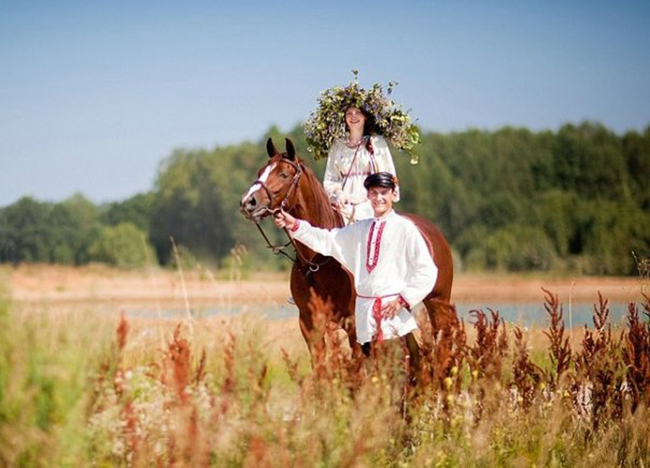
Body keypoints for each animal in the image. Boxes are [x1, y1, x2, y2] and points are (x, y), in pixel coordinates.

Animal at [239, 137, 456, 352]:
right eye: (260, 172)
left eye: (283, 174)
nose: (248, 202)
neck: (318, 262)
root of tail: (433, 231)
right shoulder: (310, 327)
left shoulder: (354, 325)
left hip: (437, 303)